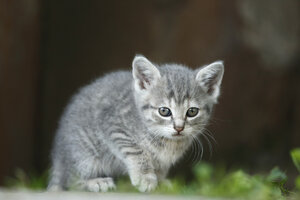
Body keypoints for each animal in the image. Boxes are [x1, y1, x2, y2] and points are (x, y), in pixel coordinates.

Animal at [48, 54, 224, 192]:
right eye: (164, 111)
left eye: (192, 111)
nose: (179, 128)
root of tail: (58, 158)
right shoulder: (114, 126)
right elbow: (136, 151)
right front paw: (145, 177)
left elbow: (160, 167)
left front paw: (160, 181)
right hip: (83, 154)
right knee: (69, 182)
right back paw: (95, 182)